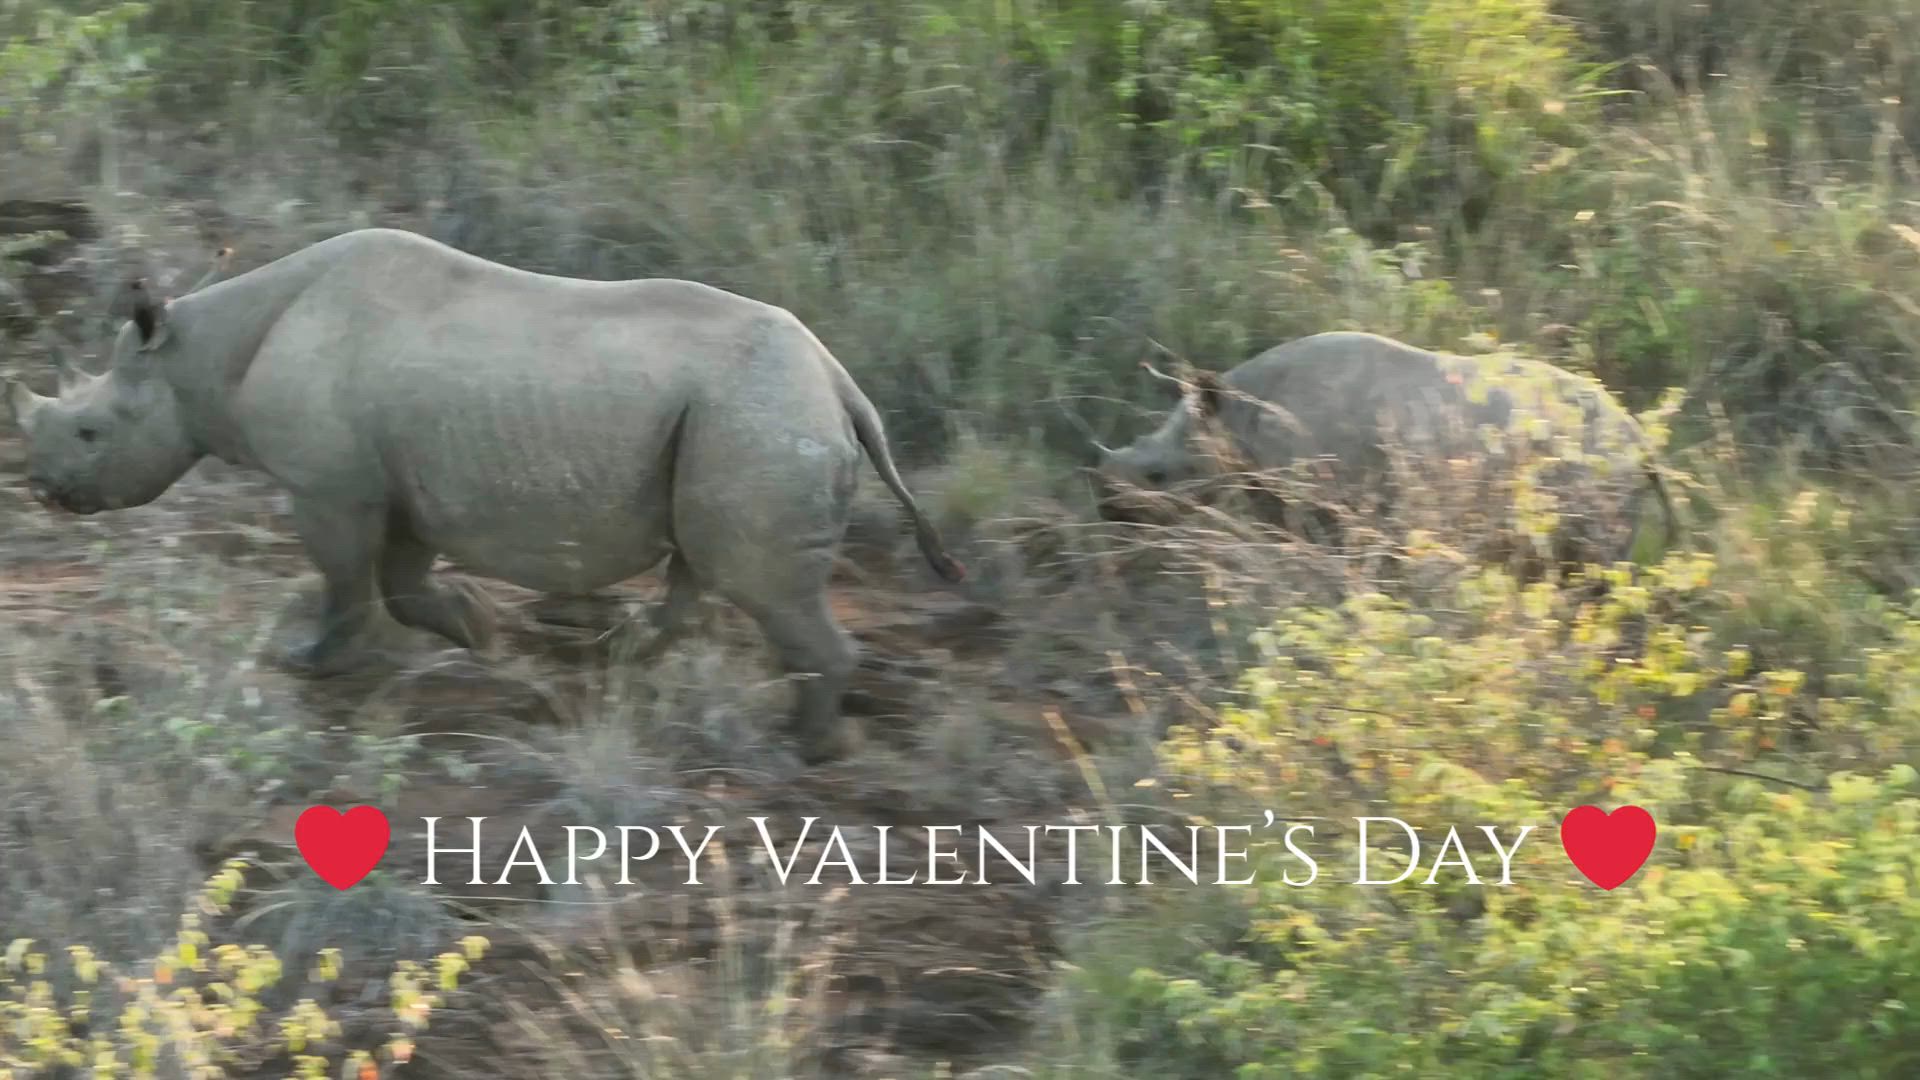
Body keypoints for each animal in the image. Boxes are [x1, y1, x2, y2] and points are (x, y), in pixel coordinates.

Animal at [4, 227, 965, 762]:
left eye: (91, 433)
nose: (45, 490)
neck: (199, 356)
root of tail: (841, 386)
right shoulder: (406, 484)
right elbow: (401, 583)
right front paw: (483, 630)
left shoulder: (330, 487)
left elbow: (345, 581)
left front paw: (310, 665)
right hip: (738, 419)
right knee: (702, 565)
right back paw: (621, 664)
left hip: (758, 419)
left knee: (755, 582)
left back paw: (805, 750)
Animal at [1091, 331, 1677, 570]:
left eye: (1159, 475)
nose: (1107, 508)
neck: (1237, 414)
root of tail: (1641, 439)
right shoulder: (1275, 486)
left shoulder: (1317, 489)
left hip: (1598, 465)